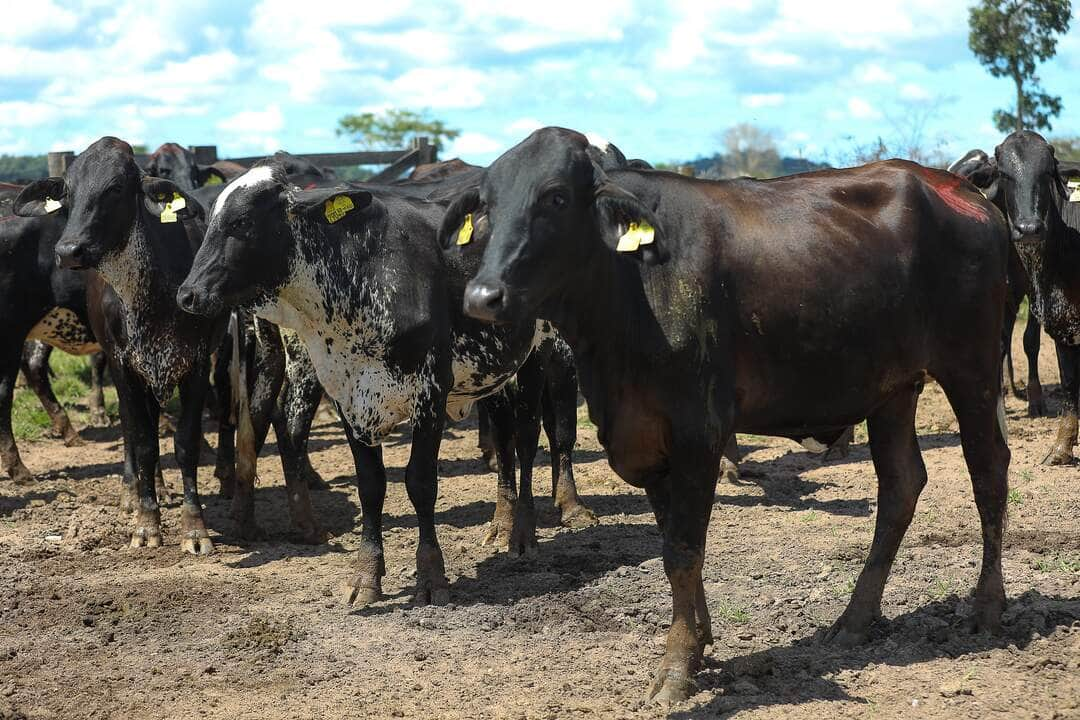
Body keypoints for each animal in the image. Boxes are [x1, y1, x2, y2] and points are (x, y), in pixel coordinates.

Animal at [178, 161, 596, 604]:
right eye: (210, 220)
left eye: (241, 221)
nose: (188, 294)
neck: (361, 274)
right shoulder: (348, 397)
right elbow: (371, 486)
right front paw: (366, 577)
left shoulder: (430, 391)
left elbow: (421, 482)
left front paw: (431, 576)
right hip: (492, 372)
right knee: (503, 440)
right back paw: (502, 523)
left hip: (539, 351)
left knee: (528, 438)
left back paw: (523, 534)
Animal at [449, 126, 1010, 699]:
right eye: (487, 205)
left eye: (557, 197)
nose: (483, 296)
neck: (629, 291)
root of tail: (957, 188)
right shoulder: (647, 439)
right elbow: (674, 546)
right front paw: (700, 641)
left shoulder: (699, 432)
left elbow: (683, 550)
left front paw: (676, 668)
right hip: (892, 388)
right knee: (901, 484)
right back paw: (855, 618)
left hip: (973, 368)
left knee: (988, 470)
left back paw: (987, 607)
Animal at [989, 131, 1080, 464]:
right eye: (1005, 174)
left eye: (1047, 173)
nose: (1028, 228)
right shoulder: (1063, 326)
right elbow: (1069, 385)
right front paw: (1062, 447)